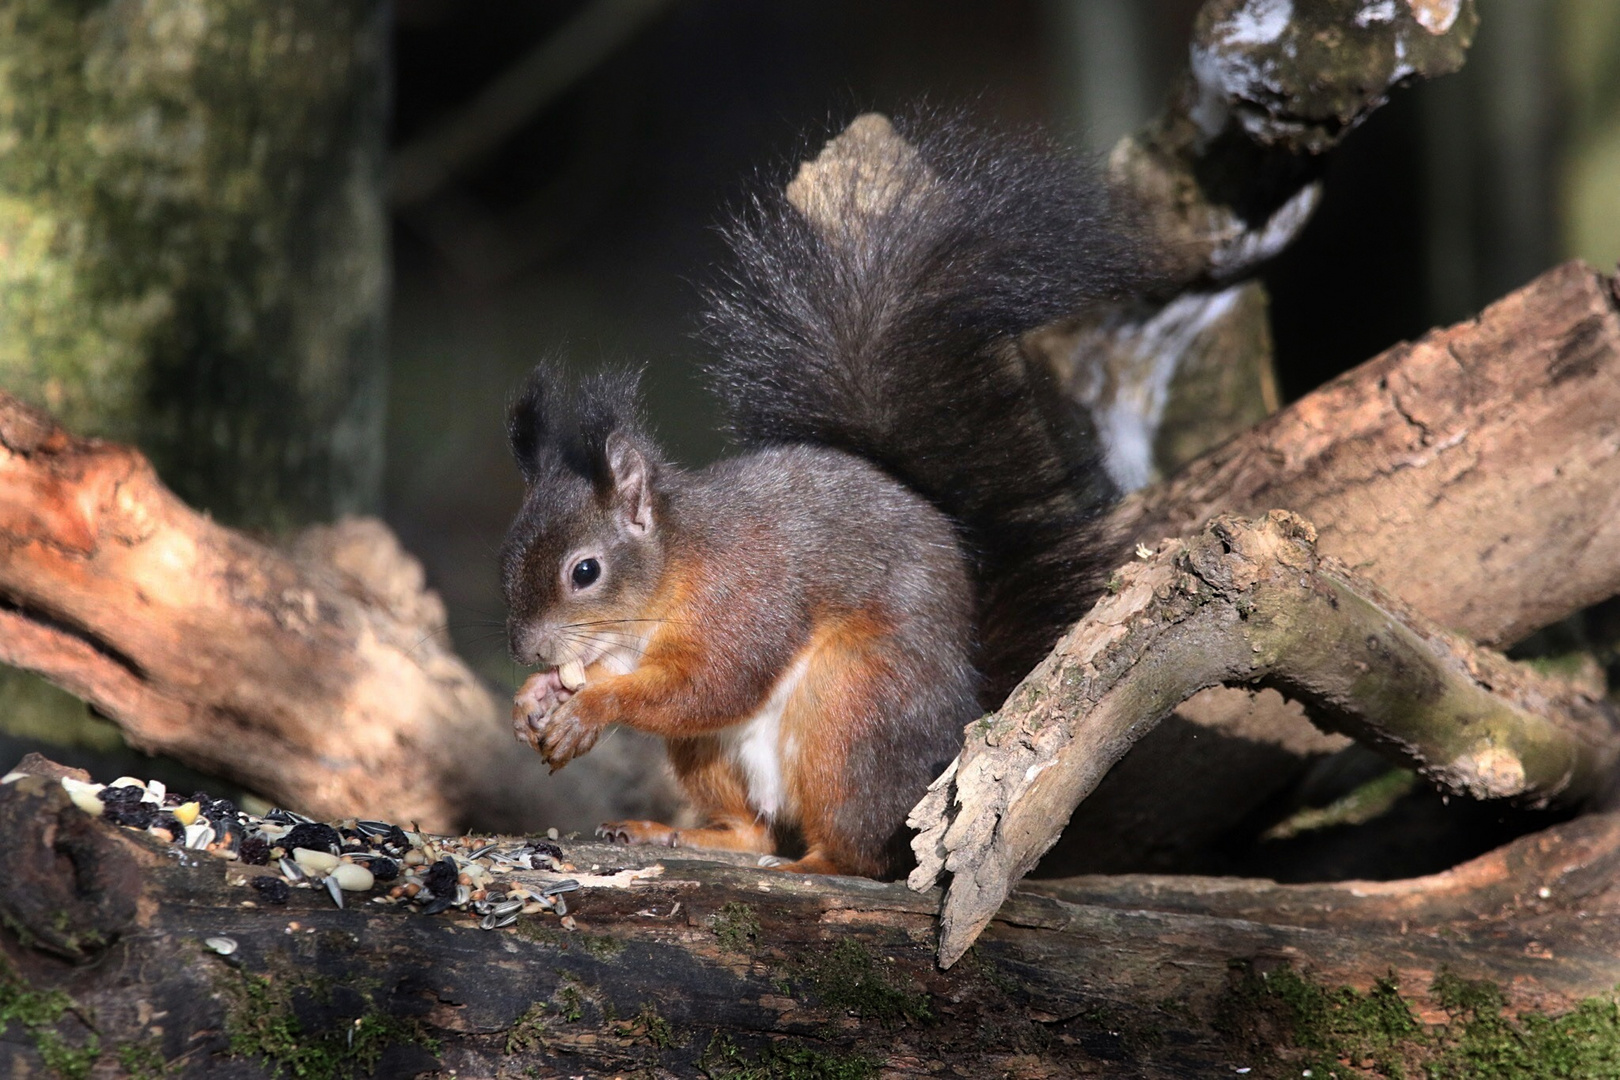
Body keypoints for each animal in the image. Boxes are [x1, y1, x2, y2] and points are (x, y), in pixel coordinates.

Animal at [498, 110, 1146, 880]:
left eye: (585, 571)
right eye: (506, 561)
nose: (527, 650)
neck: (674, 571)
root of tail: (961, 718)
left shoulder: (746, 597)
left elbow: (712, 681)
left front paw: (589, 708)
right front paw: (536, 699)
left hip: (850, 710)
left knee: (859, 850)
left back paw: (814, 864)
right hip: (713, 752)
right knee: (753, 830)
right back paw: (678, 833)